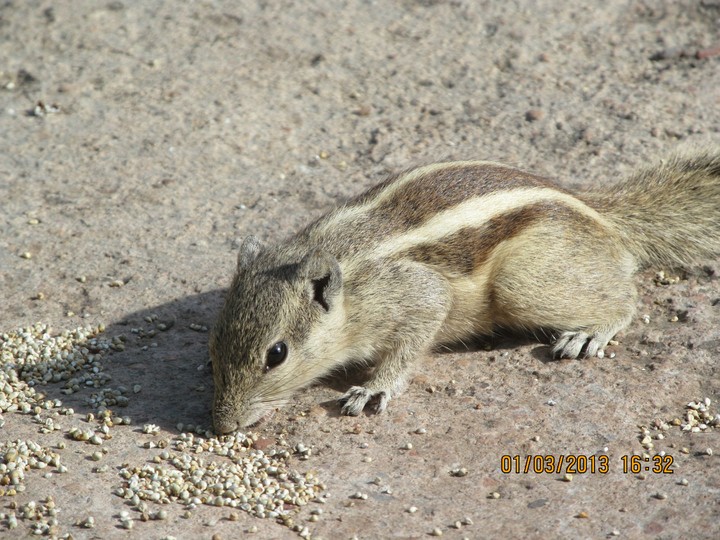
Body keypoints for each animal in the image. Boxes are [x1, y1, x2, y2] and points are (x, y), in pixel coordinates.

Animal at [209, 150, 720, 433]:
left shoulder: (418, 295)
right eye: (214, 344)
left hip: (522, 284)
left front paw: (373, 387)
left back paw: (590, 332)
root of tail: (602, 215)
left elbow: (410, 343)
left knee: (626, 295)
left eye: (276, 354)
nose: (221, 425)